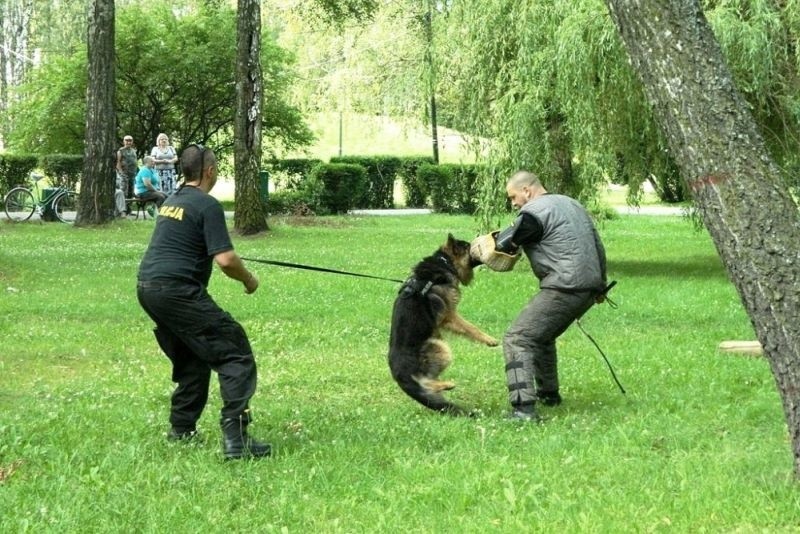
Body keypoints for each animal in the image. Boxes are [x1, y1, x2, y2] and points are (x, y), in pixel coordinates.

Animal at [390, 237, 496, 416]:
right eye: (468, 246)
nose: (479, 246)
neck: (445, 262)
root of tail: (399, 376)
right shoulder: (450, 315)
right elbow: (470, 328)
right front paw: (490, 339)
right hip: (441, 347)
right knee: (426, 383)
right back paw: (447, 384)